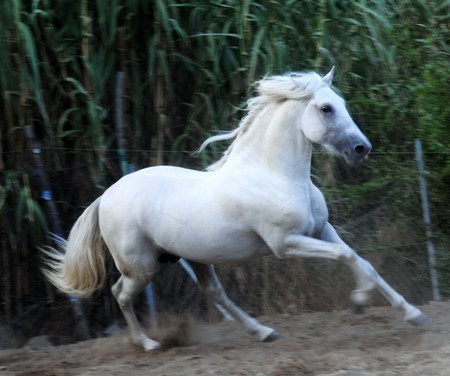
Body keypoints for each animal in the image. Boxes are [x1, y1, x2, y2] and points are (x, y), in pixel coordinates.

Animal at [44, 67, 428, 350]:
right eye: (325, 108)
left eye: (341, 102)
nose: (362, 149)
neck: (276, 175)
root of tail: (106, 196)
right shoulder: (286, 243)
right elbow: (347, 257)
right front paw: (360, 300)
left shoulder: (321, 230)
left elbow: (361, 260)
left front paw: (413, 315)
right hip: (141, 266)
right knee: (120, 293)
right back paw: (149, 344)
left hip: (195, 256)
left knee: (214, 293)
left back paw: (264, 332)